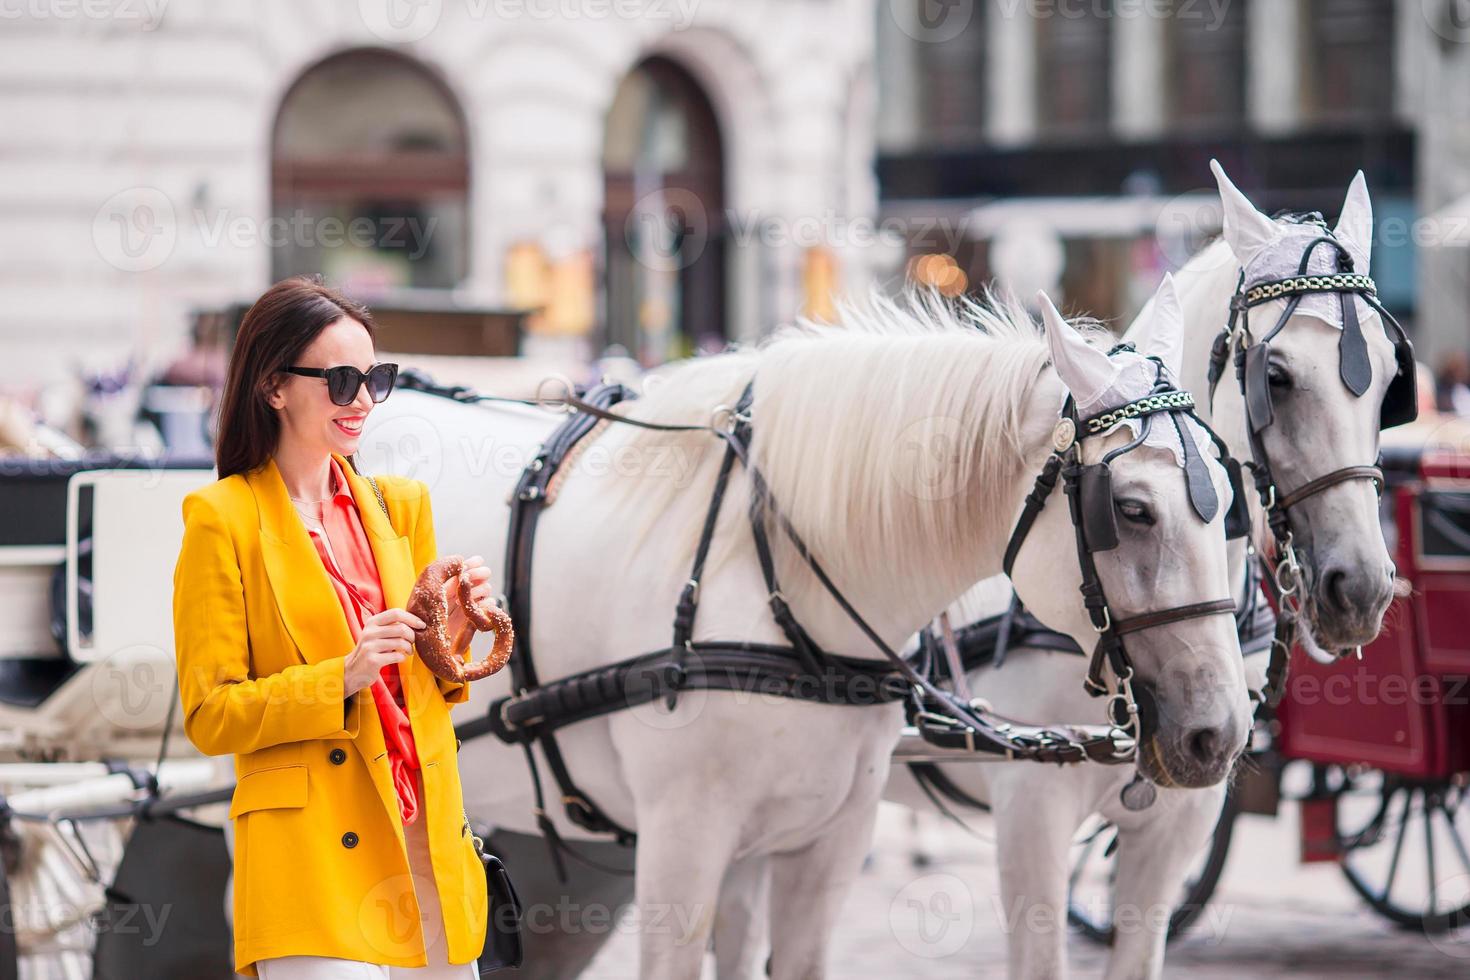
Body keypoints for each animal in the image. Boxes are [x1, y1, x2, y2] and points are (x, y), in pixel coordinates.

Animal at [352, 282, 1240, 975]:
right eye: (1130, 509)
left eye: (1231, 499)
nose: (1218, 736)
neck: (775, 583)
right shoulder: (684, 841)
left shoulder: (822, 839)